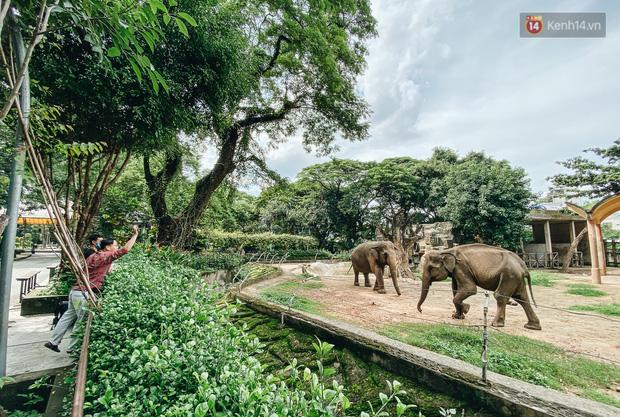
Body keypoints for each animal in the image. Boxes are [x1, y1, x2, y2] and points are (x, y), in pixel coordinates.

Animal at [416, 242, 544, 330]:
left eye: (430, 268)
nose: (421, 310)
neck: (447, 251)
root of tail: (523, 265)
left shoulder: (461, 267)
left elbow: (470, 289)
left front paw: (465, 309)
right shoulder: (456, 271)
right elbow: (455, 289)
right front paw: (458, 315)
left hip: (509, 276)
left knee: (500, 296)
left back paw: (496, 324)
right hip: (516, 278)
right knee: (522, 298)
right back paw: (532, 326)